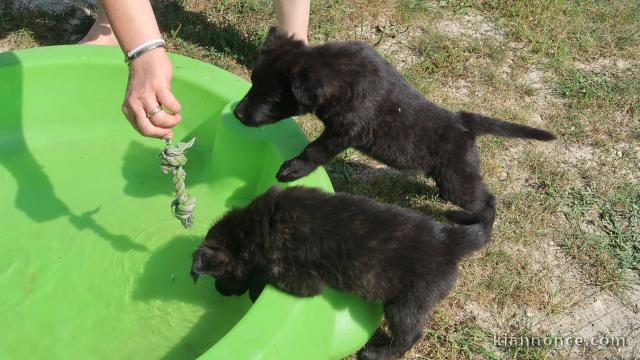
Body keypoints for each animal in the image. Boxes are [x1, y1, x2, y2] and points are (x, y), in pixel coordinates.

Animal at [190, 187, 496, 358]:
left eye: (220, 277)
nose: (220, 292)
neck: (254, 228)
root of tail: (448, 240)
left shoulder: (296, 278)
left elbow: (264, 276)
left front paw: (255, 290)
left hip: (406, 304)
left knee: (410, 335)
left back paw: (377, 354)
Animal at [235, 27, 556, 217]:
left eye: (271, 98)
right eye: (252, 82)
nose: (237, 114)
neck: (338, 74)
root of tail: (464, 123)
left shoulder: (344, 132)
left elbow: (315, 150)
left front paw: (292, 169)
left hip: (458, 179)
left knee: (486, 201)